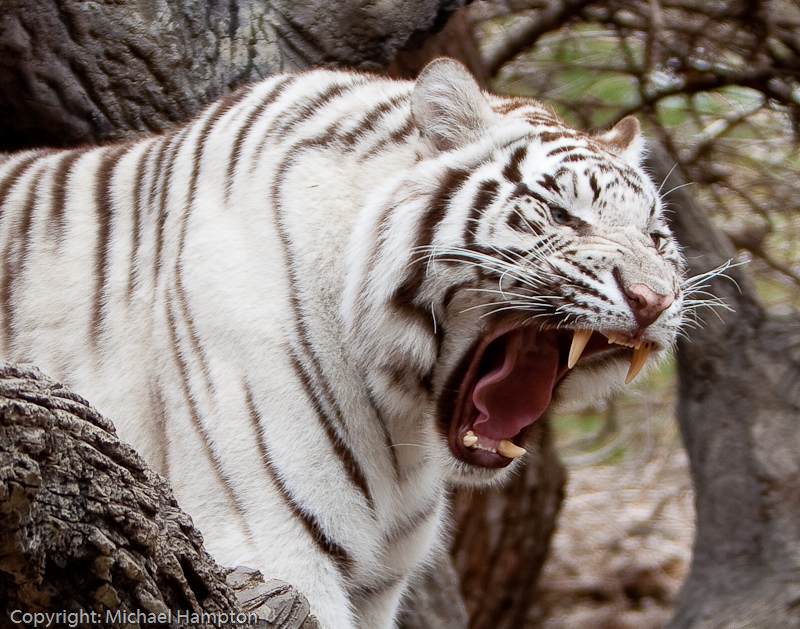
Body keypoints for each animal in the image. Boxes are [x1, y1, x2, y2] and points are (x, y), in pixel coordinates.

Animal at [1, 59, 688, 628]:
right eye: (562, 215)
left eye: (656, 239)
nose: (654, 299)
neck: (401, 417)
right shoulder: (270, 542)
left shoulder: (377, 586)